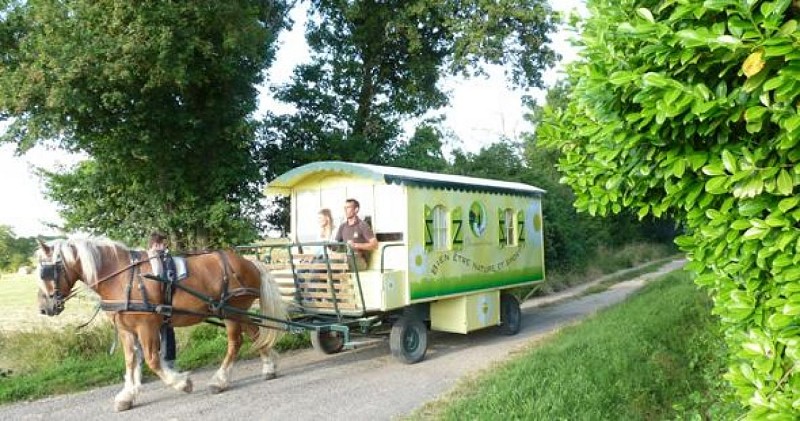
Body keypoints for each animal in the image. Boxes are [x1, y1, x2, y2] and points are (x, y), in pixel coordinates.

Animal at [36, 236, 290, 410]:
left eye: (46, 272)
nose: (44, 308)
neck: (123, 278)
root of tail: (250, 262)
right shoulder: (126, 330)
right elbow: (131, 361)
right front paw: (127, 396)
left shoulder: (146, 326)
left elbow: (152, 360)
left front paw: (181, 383)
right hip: (239, 311)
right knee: (257, 334)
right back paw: (269, 367)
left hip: (231, 311)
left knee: (235, 343)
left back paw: (220, 380)